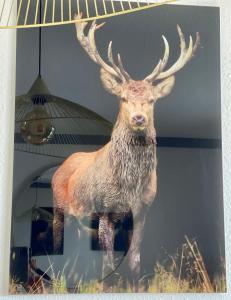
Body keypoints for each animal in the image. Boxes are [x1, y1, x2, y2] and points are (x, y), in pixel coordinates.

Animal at [51, 13, 199, 290]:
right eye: (122, 98)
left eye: (152, 100)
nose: (139, 118)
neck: (130, 186)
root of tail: (61, 167)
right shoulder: (104, 209)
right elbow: (108, 262)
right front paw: (106, 288)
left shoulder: (142, 212)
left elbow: (134, 260)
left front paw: (136, 287)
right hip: (59, 209)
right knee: (56, 248)